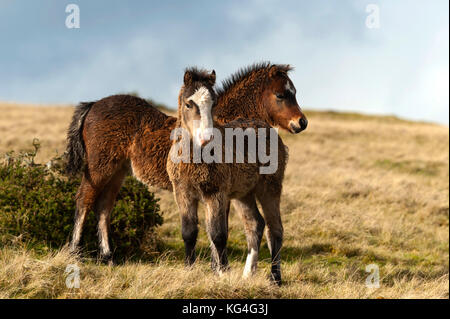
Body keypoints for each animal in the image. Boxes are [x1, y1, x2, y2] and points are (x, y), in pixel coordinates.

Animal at [66, 62, 306, 262]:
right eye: (281, 95)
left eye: (294, 92)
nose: (301, 122)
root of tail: (93, 105)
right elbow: (219, 228)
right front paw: (217, 263)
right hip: (100, 167)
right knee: (83, 200)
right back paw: (75, 252)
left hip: (118, 171)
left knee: (104, 207)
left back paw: (108, 256)